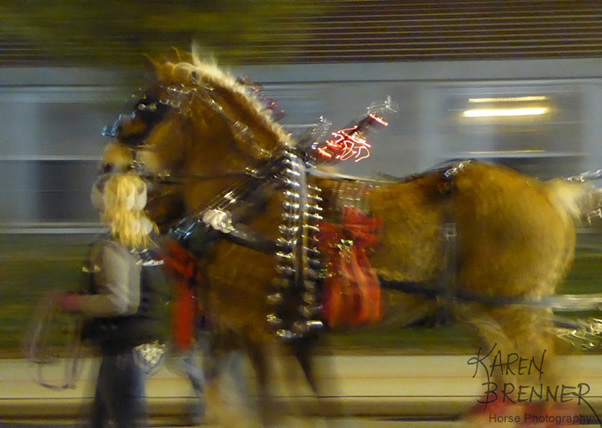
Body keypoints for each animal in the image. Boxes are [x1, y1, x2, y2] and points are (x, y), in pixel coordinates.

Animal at [98, 51, 596, 426]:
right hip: (485, 310)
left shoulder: (256, 329)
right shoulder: (274, 333)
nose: (107, 165)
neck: (251, 201)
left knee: (549, 374)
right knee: (517, 381)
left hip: (513, 308)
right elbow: (303, 401)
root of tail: (549, 191)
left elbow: (271, 406)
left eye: (145, 107)